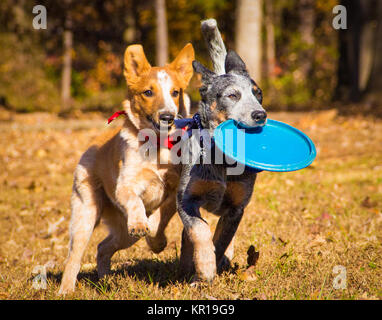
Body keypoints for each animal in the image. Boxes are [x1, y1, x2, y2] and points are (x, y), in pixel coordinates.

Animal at [59, 42, 194, 296]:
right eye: (148, 92)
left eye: (175, 92)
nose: (168, 116)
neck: (157, 146)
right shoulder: (124, 186)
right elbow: (135, 202)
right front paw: (142, 223)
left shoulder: (177, 190)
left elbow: (159, 218)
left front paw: (156, 240)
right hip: (85, 214)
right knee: (74, 256)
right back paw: (66, 290)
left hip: (122, 233)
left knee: (103, 247)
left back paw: (104, 281)